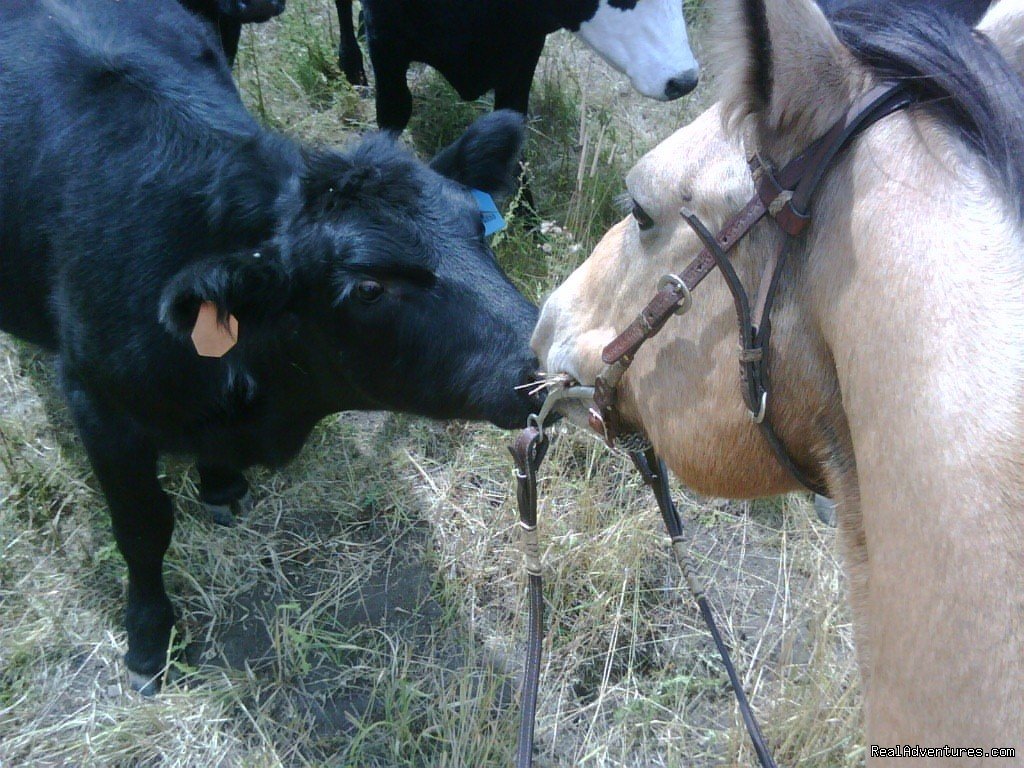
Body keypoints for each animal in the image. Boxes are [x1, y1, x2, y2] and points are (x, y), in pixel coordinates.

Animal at [0, 0, 540, 696]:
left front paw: (220, 485)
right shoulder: (98, 404)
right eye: (368, 288)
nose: (547, 362)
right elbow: (142, 528)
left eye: (479, 227)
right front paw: (150, 638)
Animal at [335, 0, 704, 131]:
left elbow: (511, 118)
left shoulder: (524, 50)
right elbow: (394, 112)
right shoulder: (387, 43)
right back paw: (353, 69)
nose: (684, 80)